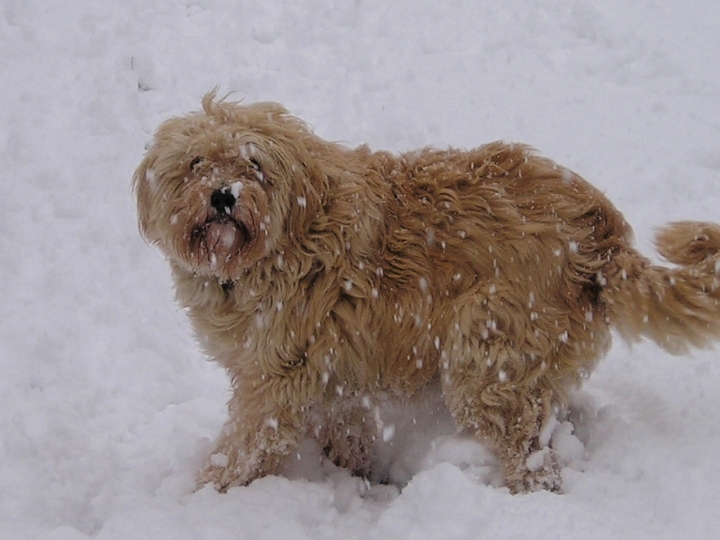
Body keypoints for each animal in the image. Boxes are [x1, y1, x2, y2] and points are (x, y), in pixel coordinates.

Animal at [132, 93, 720, 494]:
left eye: (254, 164)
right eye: (195, 163)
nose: (223, 197)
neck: (292, 231)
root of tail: (600, 235)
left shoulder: (274, 379)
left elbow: (245, 444)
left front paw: (204, 495)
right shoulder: (332, 371)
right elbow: (345, 429)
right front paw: (355, 471)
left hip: (488, 356)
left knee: (531, 457)